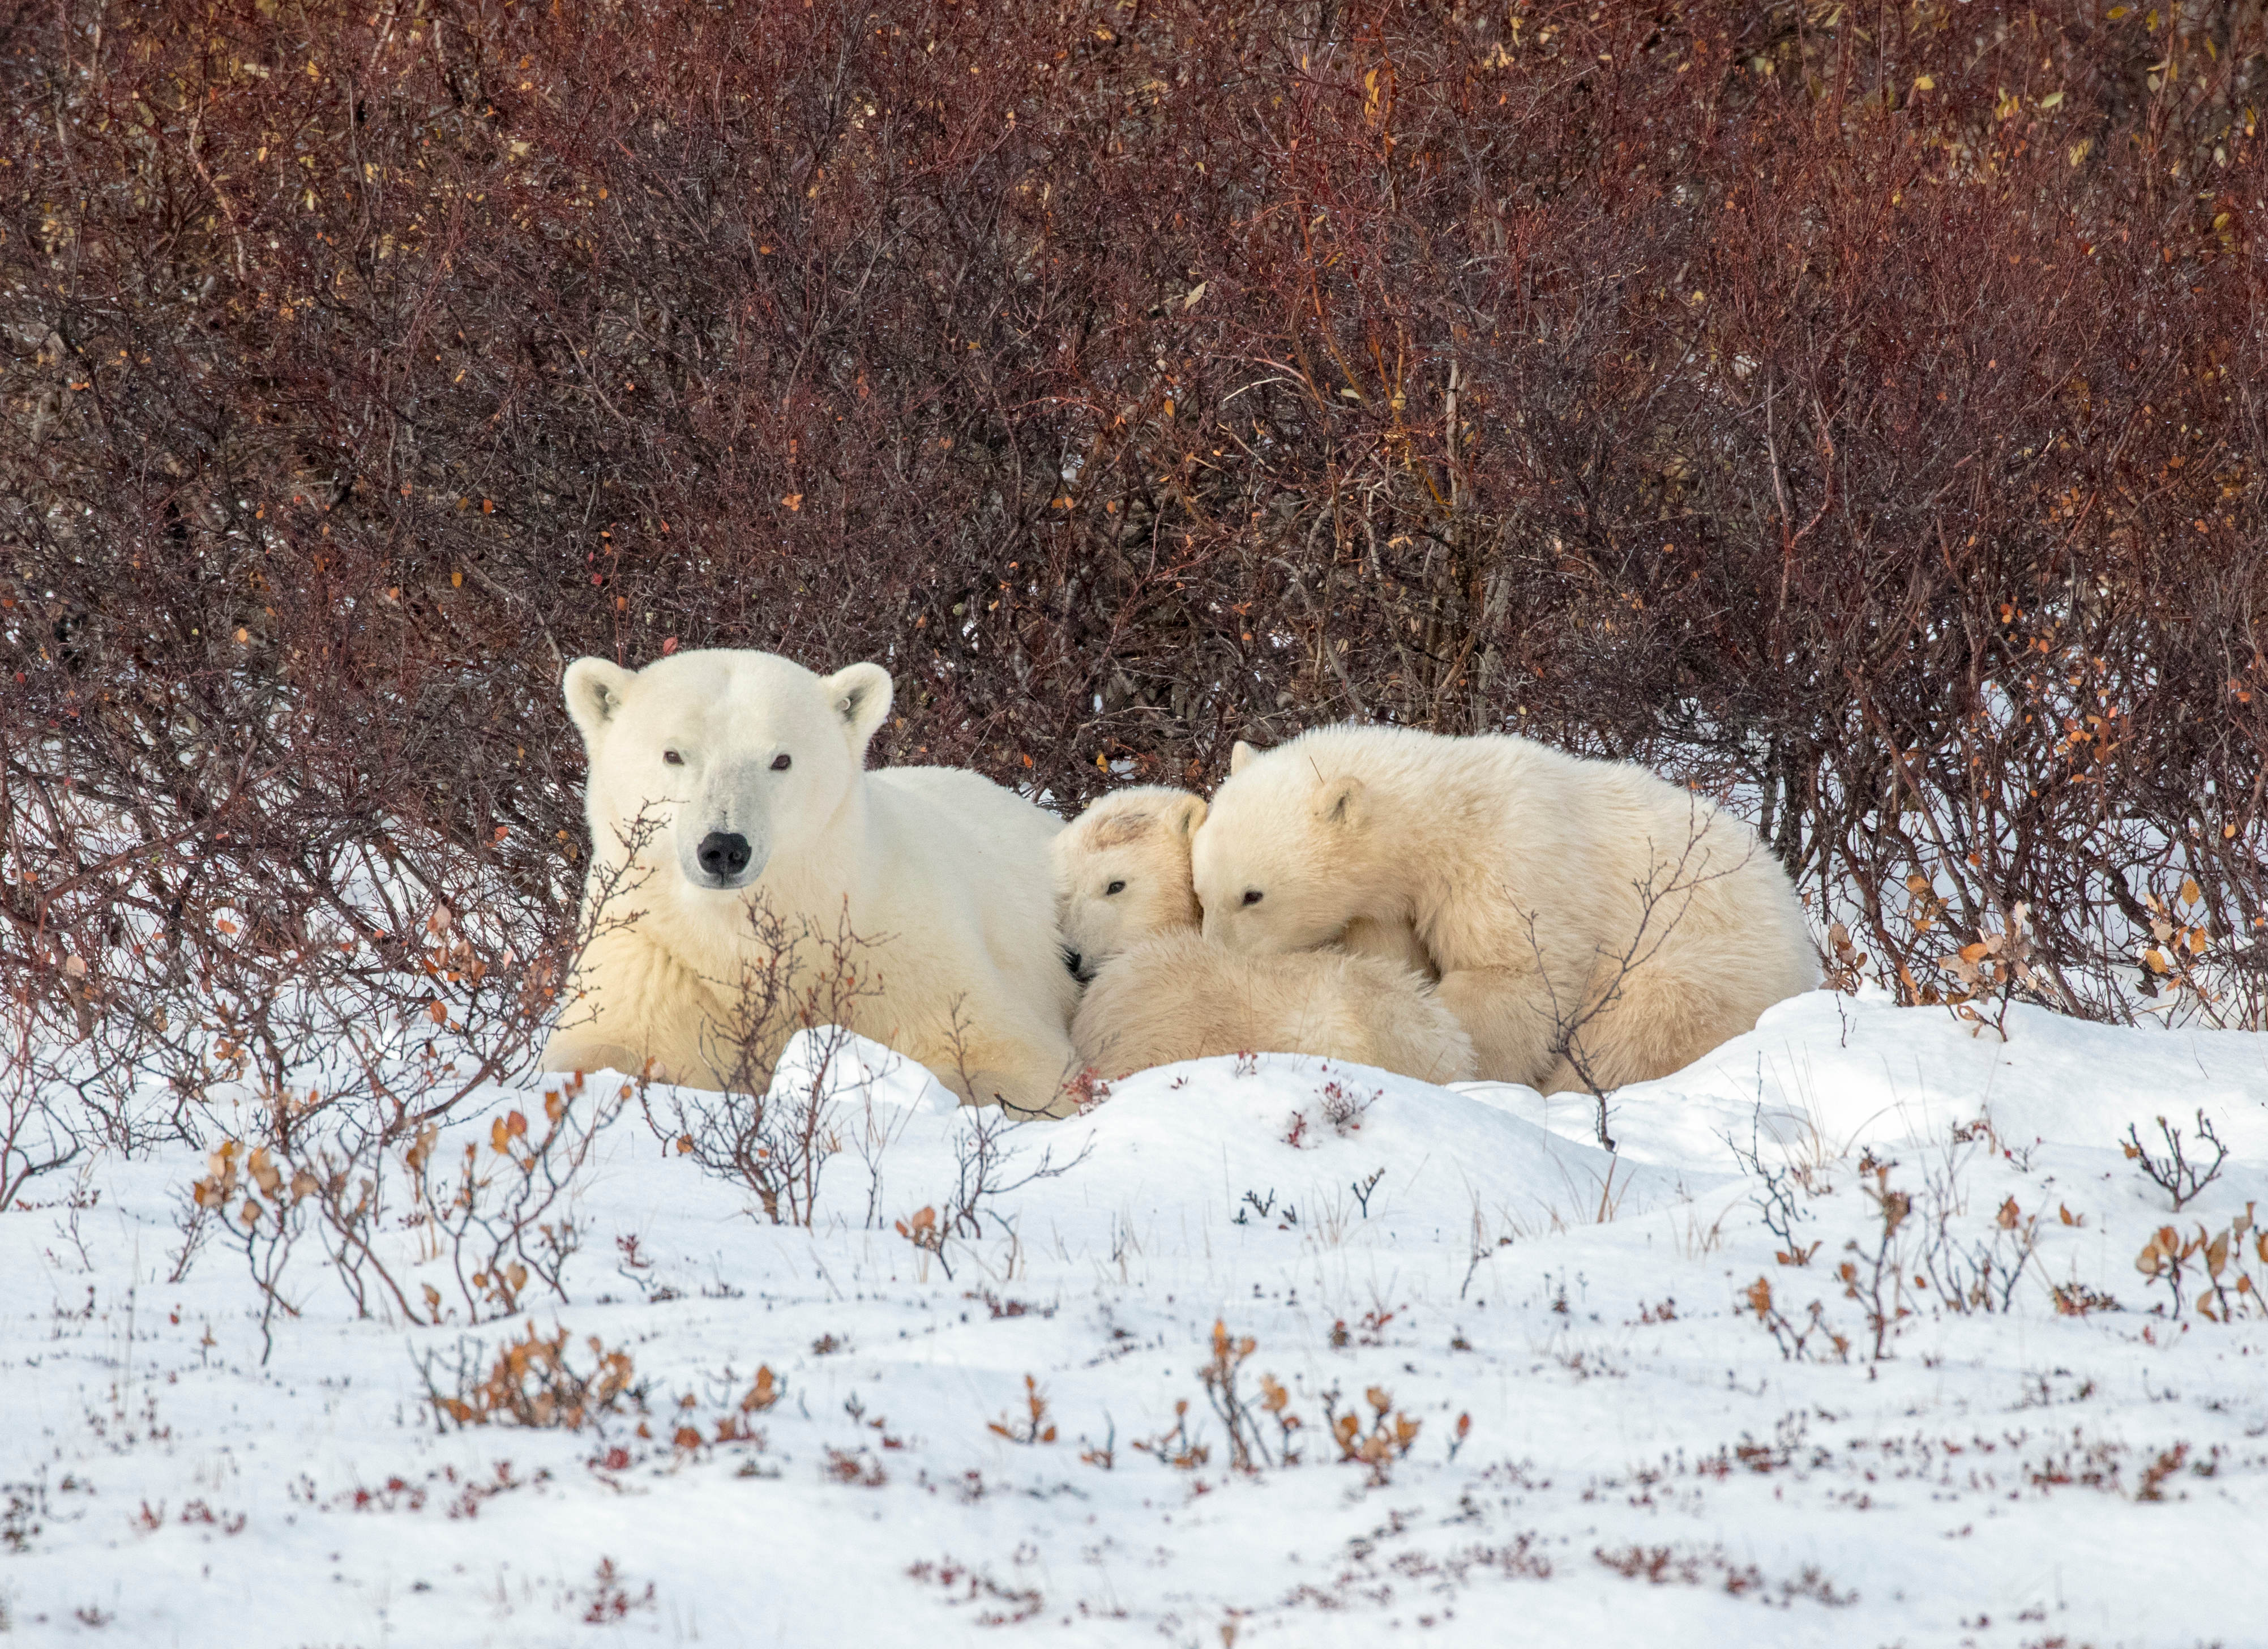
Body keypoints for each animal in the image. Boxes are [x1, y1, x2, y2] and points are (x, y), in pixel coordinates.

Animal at [540, 648, 1080, 1116]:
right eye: (673, 754)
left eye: (781, 760)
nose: (724, 848)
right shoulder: (650, 949)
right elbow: (606, 1044)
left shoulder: (899, 952)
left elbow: (1017, 1063)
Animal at [1189, 727, 1819, 1094]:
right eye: (1200, 888)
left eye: (1252, 894)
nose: (1216, 955)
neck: (1446, 817)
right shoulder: (1389, 908)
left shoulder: (1511, 868)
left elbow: (1510, 979)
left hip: (1710, 967)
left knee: (1637, 1023)